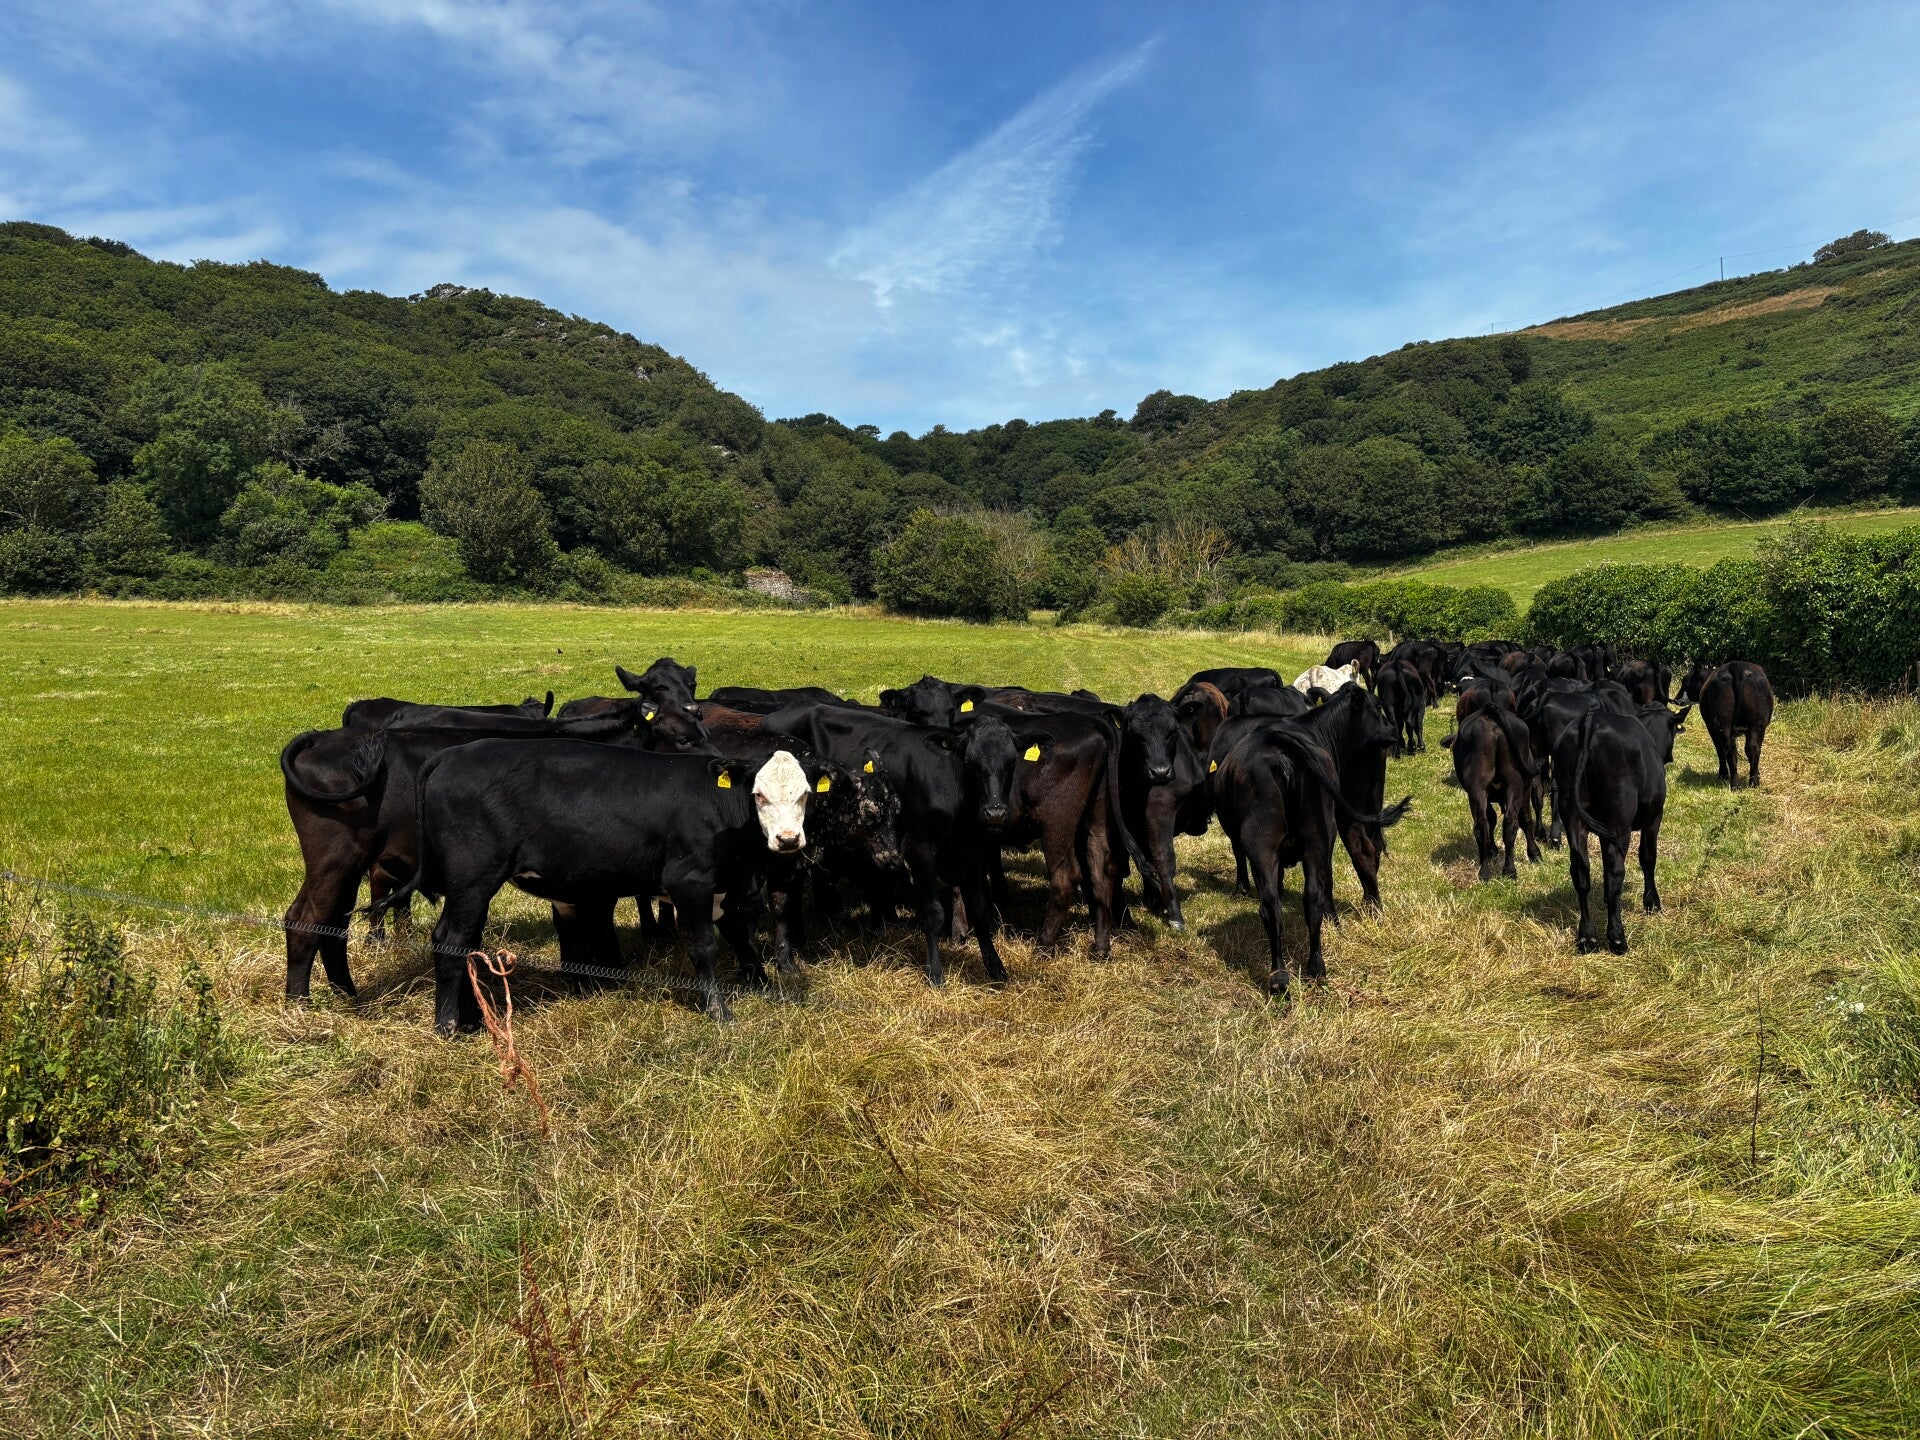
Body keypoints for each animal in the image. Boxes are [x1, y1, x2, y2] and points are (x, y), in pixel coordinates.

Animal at [375, 745, 834, 1030]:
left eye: (805, 795)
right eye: (758, 795)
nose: (788, 840)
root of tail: (450, 754)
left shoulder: (729, 889)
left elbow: (743, 939)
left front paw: (768, 989)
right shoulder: (689, 882)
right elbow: (704, 946)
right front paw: (719, 1011)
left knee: (467, 942)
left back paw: (471, 1018)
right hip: (472, 880)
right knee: (450, 939)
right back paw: (449, 1024)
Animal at [1445, 706, 1542, 881]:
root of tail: (1488, 711)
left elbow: (1492, 818)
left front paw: (1491, 849)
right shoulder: (1525, 788)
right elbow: (1525, 820)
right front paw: (1534, 853)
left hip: (1478, 789)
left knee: (1482, 824)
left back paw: (1486, 872)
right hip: (1514, 784)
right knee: (1509, 822)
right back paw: (1507, 870)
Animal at [1553, 701, 1688, 954]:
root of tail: (1592, 719)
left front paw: (1607, 900)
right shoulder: (1655, 816)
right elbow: (1647, 857)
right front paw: (1652, 903)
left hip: (1572, 815)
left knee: (1580, 870)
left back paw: (1587, 937)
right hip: (1619, 821)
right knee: (1616, 869)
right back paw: (1617, 938)